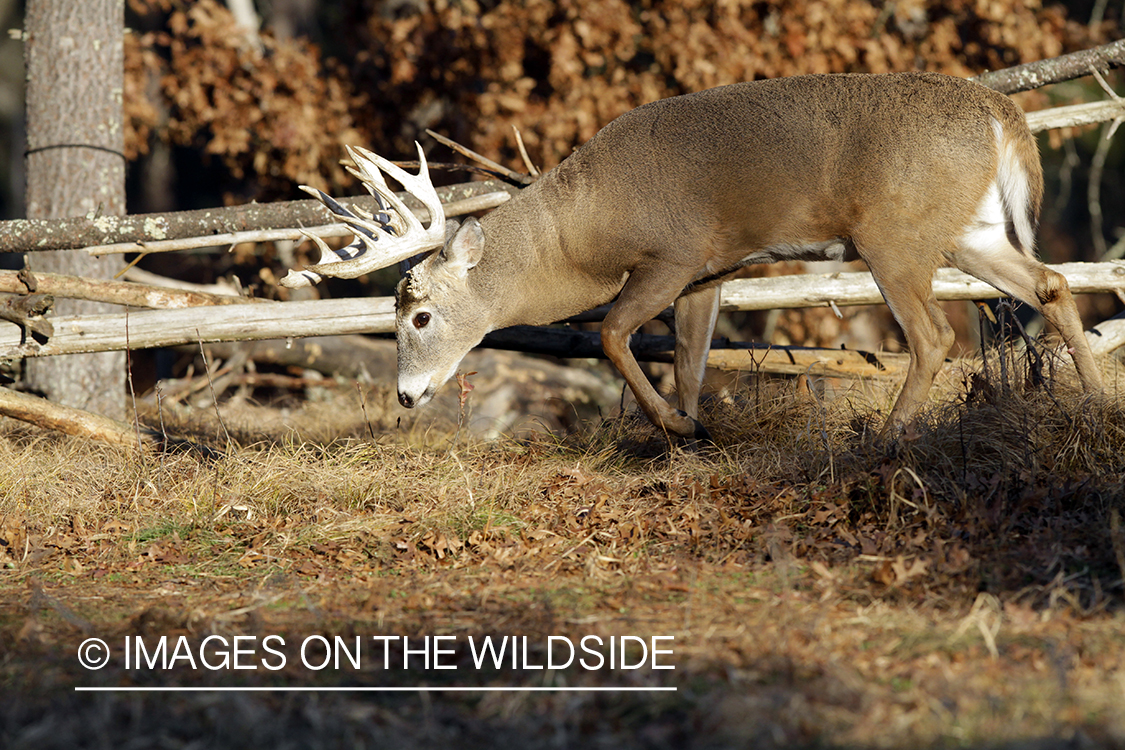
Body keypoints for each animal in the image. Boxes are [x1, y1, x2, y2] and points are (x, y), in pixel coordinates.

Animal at [283, 71, 1107, 440]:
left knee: (933, 334)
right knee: (1053, 283)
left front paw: (677, 429)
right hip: (970, 229)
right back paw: (1098, 403)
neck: (582, 231)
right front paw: (691, 427)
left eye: (420, 315)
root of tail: (1001, 112)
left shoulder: (672, 255)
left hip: (895, 234)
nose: (405, 395)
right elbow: (689, 357)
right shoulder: (711, 270)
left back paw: (887, 434)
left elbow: (614, 334)